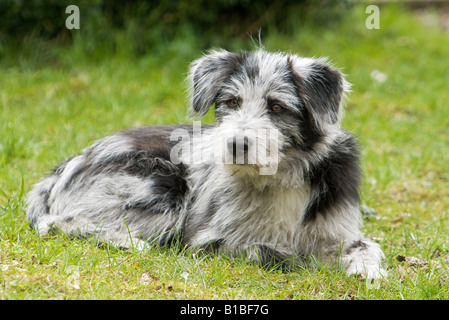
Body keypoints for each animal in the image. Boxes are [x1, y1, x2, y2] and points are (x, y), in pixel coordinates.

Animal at [27, 48, 384, 278]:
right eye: (232, 102)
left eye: (277, 107)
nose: (236, 144)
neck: (279, 178)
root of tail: (62, 170)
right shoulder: (211, 240)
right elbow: (279, 254)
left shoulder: (338, 228)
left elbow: (366, 245)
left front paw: (366, 269)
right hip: (162, 187)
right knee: (59, 222)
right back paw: (126, 240)